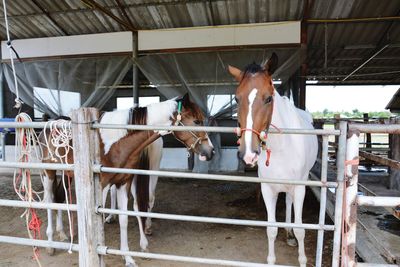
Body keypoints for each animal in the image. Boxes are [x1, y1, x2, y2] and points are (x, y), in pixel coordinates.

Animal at [41, 93, 216, 266]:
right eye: (196, 121)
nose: (210, 152)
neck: (116, 142)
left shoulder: (123, 183)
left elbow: (124, 219)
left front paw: (128, 258)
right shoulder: (102, 186)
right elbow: (99, 221)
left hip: (67, 174)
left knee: (59, 198)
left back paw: (63, 234)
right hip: (48, 173)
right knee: (49, 200)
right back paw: (49, 244)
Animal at [230, 53, 318, 266]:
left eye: (268, 98)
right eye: (236, 98)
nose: (248, 153)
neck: (281, 148)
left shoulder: (300, 188)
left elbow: (301, 229)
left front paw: (302, 259)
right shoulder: (268, 189)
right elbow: (271, 229)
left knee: (290, 203)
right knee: (287, 202)